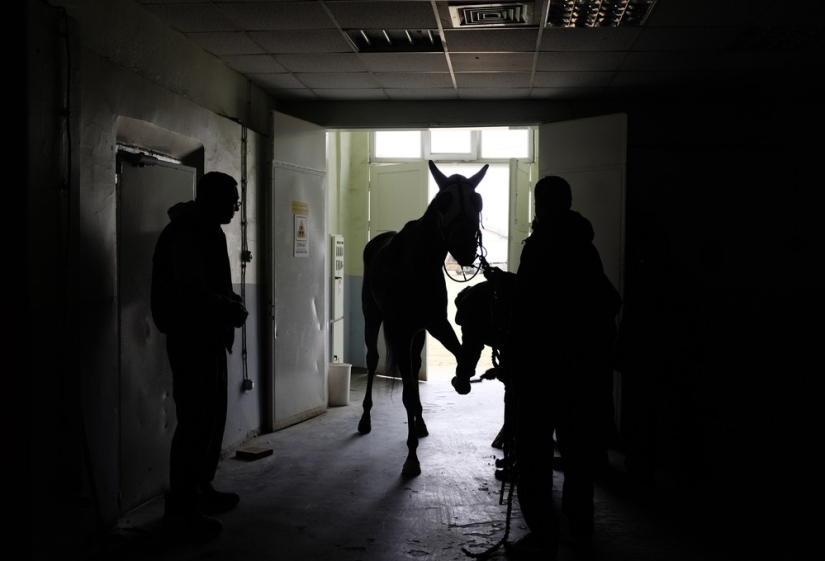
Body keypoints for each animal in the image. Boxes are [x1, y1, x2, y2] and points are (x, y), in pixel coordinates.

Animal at [360, 160, 490, 474]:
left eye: (477, 200)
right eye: (444, 202)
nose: (465, 248)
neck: (418, 262)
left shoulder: (435, 324)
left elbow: (461, 354)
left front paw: (463, 377)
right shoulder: (400, 330)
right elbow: (406, 391)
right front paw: (411, 458)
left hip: (417, 334)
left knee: (416, 365)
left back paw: (419, 423)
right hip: (373, 318)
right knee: (372, 361)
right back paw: (365, 418)